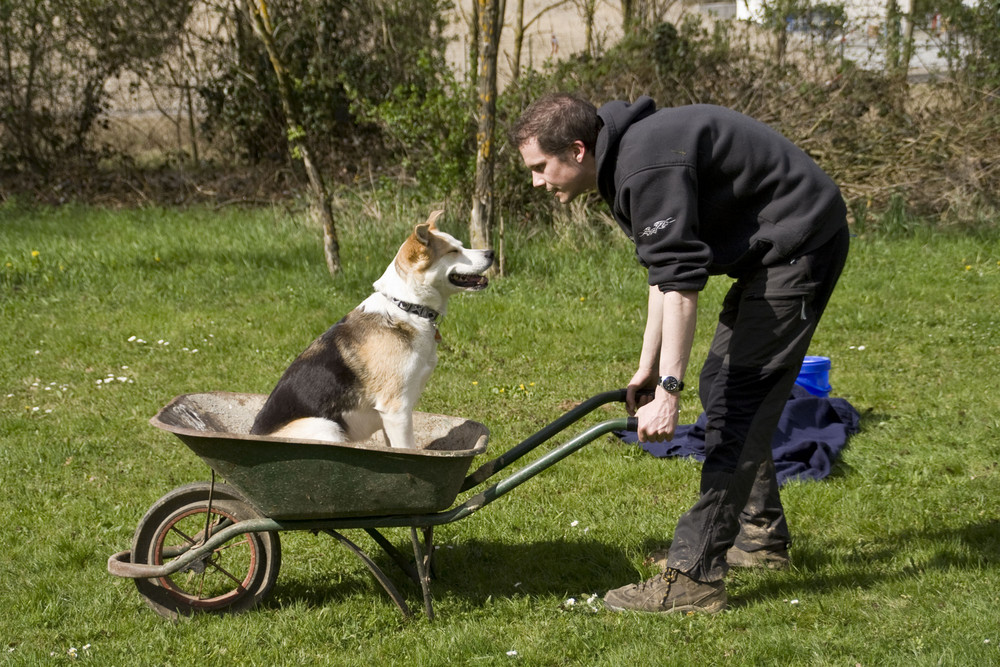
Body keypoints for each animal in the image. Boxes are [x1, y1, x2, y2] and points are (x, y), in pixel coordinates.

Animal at [250, 210, 492, 448]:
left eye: (461, 245)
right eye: (453, 251)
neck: (407, 307)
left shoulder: (393, 416)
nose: (491, 252)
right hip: (327, 427)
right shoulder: (396, 410)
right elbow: (406, 450)